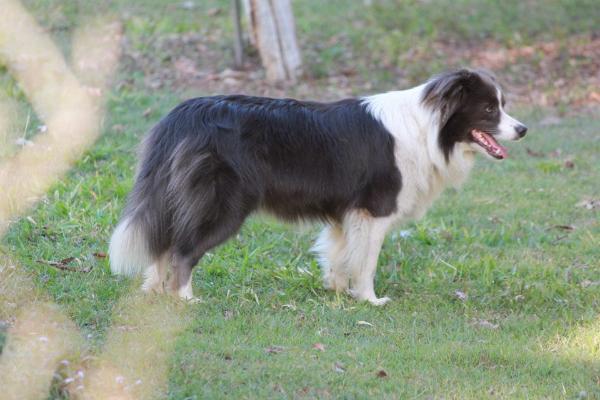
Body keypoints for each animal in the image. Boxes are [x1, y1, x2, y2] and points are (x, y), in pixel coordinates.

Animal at [108, 69, 524, 306]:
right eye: (490, 109)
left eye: (503, 104)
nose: (523, 129)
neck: (429, 128)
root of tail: (182, 115)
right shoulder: (374, 210)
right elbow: (366, 262)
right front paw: (370, 300)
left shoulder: (346, 213)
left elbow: (340, 255)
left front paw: (337, 292)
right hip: (223, 204)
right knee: (182, 250)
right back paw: (184, 299)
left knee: (163, 244)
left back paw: (155, 291)